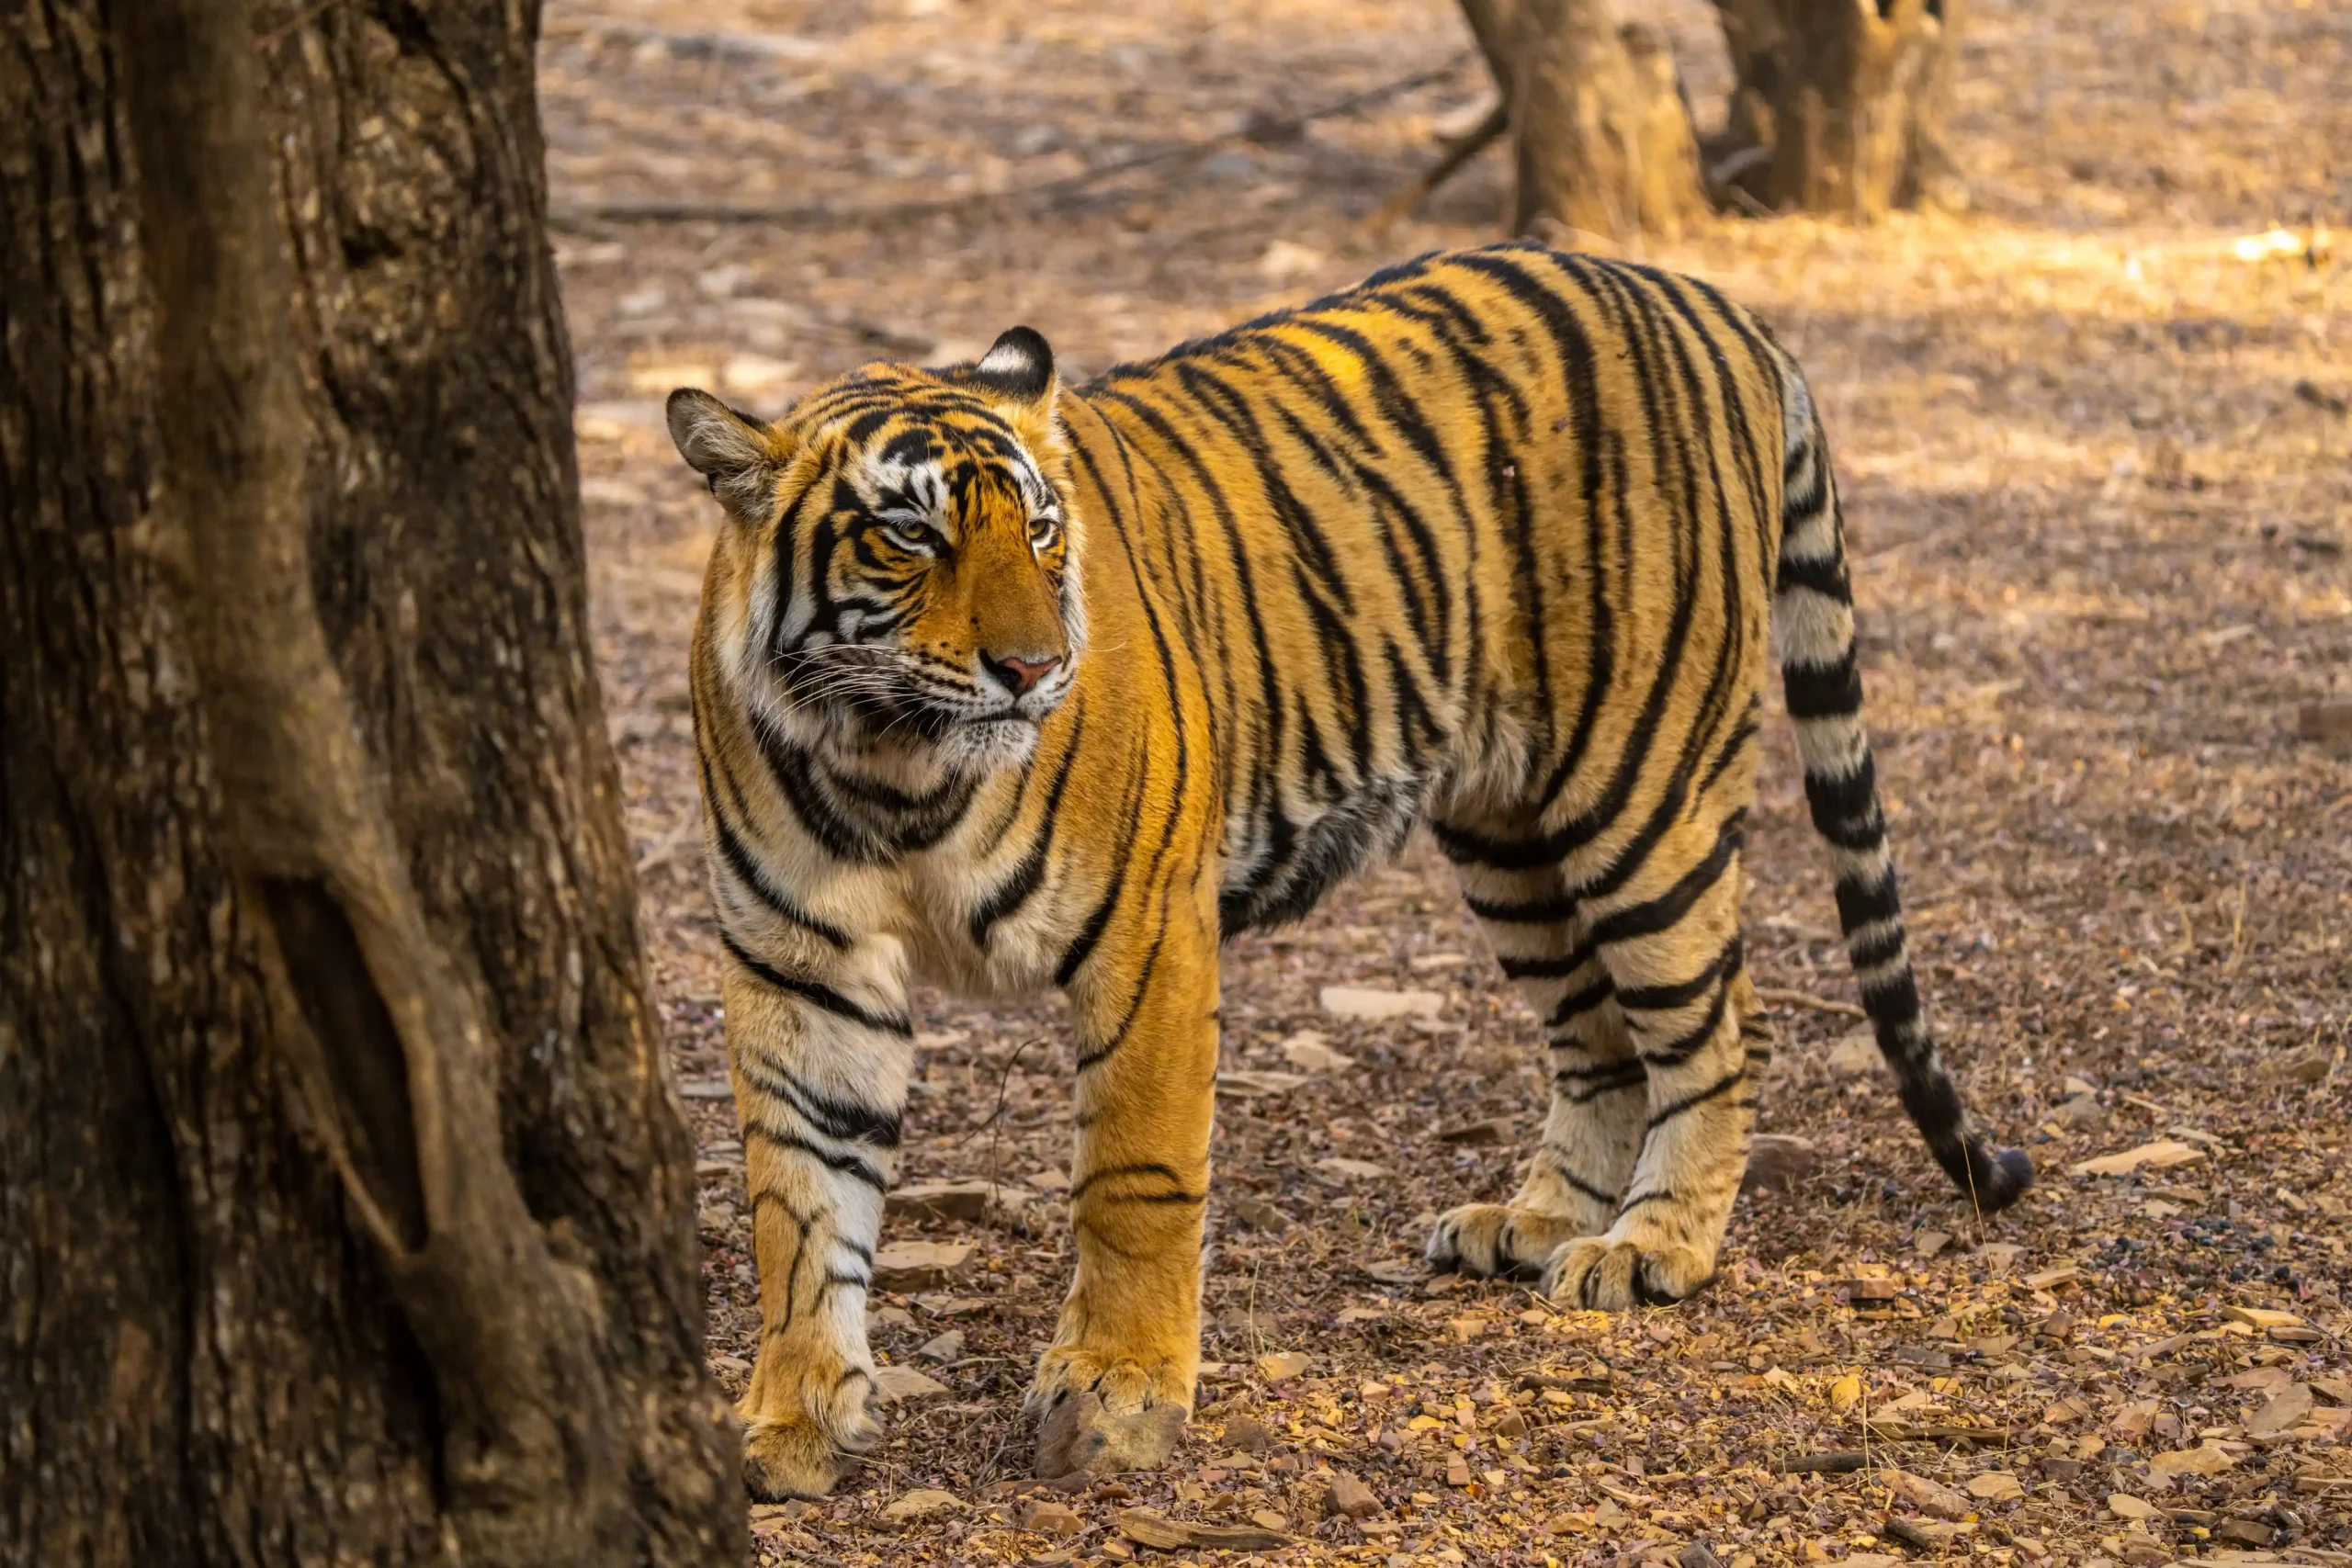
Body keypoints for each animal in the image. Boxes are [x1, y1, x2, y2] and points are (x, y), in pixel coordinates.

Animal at [666, 241, 2033, 1500]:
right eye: (911, 537)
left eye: (1042, 529)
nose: (1035, 669)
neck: (891, 766)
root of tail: (1699, 293)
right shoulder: (800, 964)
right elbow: (800, 1198)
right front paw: (793, 1415)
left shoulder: (1147, 934)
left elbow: (1135, 1179)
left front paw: (1117, 1395)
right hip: (1508, 832)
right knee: (1596, 1037)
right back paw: (1539, 1219)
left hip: (1641, 790)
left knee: (1720, 1025)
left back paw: (1654, 1244)